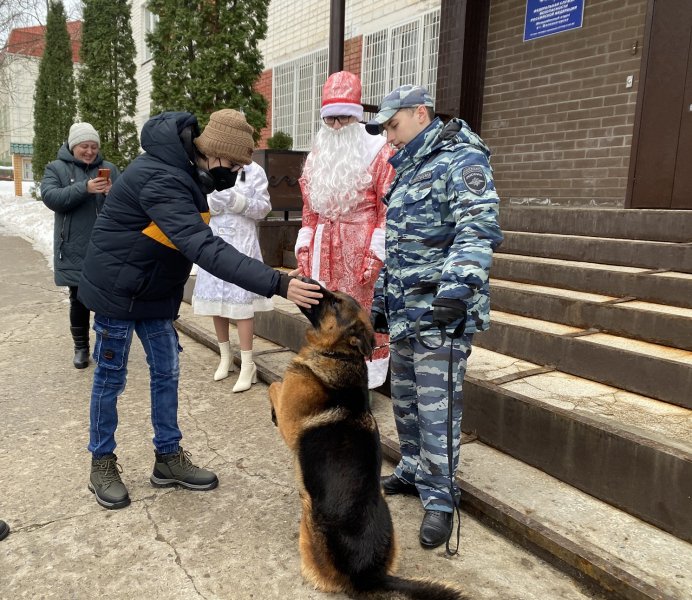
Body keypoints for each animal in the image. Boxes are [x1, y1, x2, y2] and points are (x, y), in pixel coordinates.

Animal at [268, 288, 468, 596]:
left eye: (335, 302)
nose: (303, 281)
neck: (340, 353)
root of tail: (371, 575)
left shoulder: (290, 421)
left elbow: (273, 385)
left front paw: (272, 411)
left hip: (309, 516)